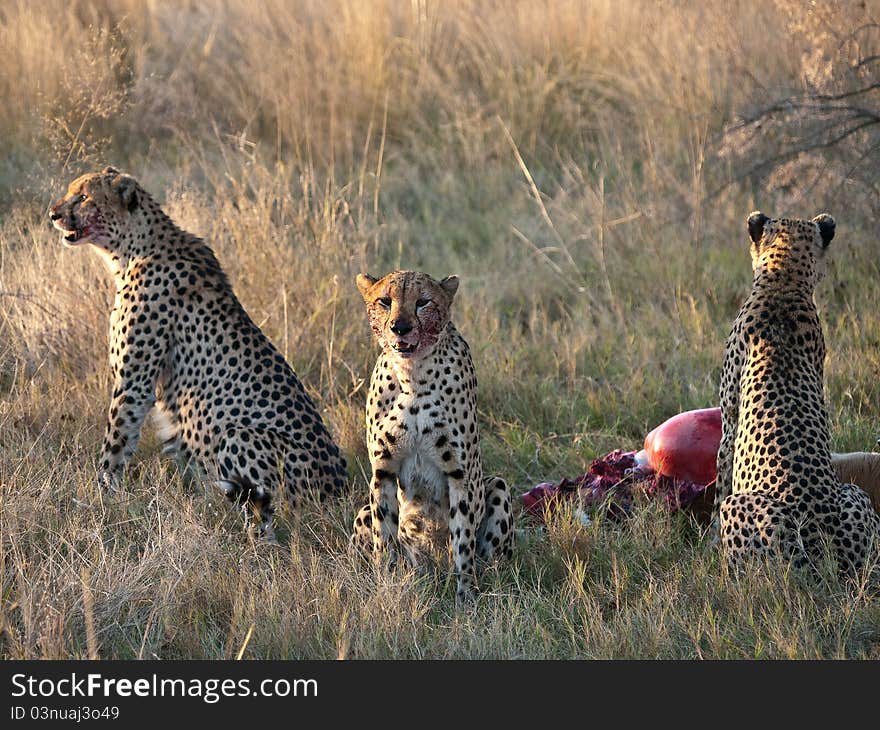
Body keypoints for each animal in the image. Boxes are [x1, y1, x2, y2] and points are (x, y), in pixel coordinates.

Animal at [49, 169, 348, 536]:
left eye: (84, 197)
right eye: (71, 192)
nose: (54, 214)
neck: (132, 248)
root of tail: (340, 492)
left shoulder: (134, 383)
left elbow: (116, 442)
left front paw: (100, 497)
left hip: (239, 436)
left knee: (271, 509)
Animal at [352, 270, 516, 600]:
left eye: (423, 302)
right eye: (385, 301)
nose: (400, 327)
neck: (411, 374)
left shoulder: (460, 474)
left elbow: (462, 540)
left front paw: (465, 599)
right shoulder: (383, 471)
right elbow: (384, 540)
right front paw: (387, 588)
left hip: (497, 486)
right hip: (364, 510)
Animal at [716, 210, 880, 576]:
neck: (784, 281)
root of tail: (827, 559)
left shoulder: (729, 423)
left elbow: (720, 474)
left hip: (745, 509)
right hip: (855, 494)